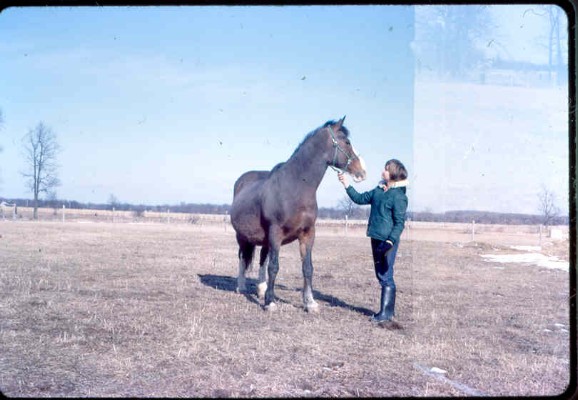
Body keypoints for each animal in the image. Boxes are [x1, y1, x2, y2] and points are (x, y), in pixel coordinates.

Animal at [228, 117, 364, 310]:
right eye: (347, 142)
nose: (362, 172)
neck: (295, 187)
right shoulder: (275, 232)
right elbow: (274, 267)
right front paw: (270, 302)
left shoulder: (308, 233)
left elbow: (307, 267)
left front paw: (310, 302)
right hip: (242, 236)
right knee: (242, 257)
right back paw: (241, 287)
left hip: (265, 239)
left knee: (262, 258)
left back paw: (261, 289)